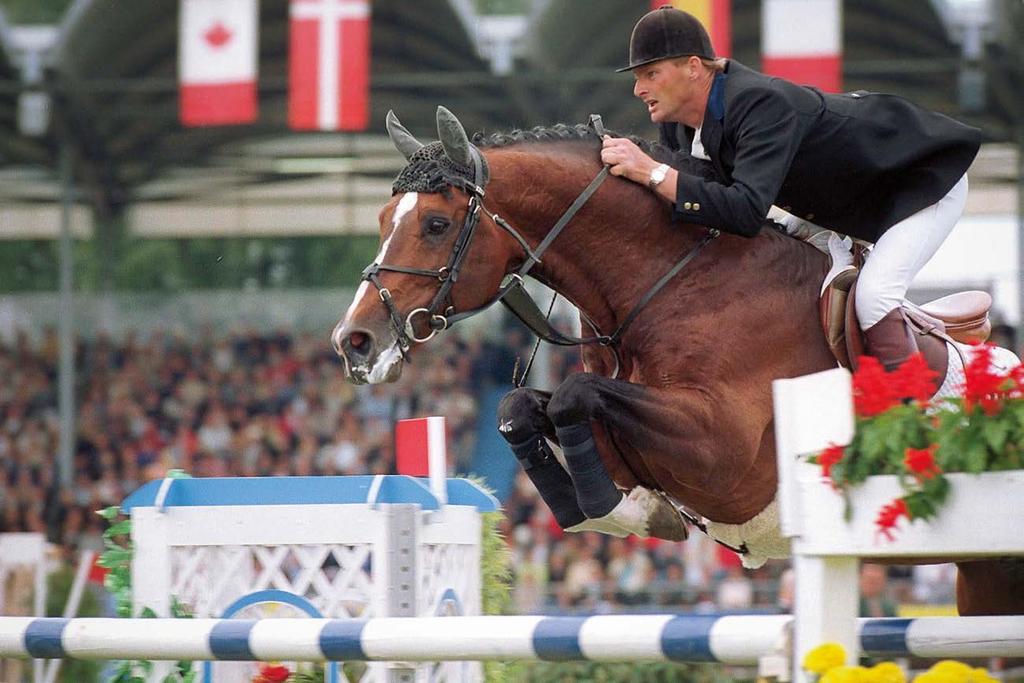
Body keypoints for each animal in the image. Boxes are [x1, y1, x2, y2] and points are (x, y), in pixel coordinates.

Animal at [333, 107, 1024, 618]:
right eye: (381, 218)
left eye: (436, 224)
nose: (353, 341)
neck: (680, 283)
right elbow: (524, 405)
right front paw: (613, 506)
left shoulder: (725, 456)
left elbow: (576, 396)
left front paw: (609, 504)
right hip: (984, 578)